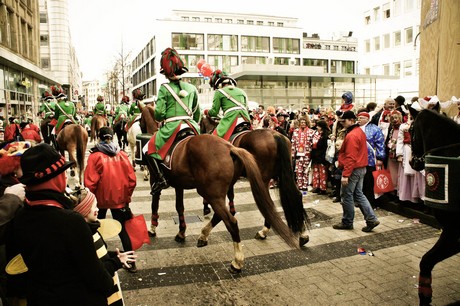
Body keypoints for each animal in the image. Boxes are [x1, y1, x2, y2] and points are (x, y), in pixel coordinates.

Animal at [140, 103, 298, 272]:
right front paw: (181, 232)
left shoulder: (156, 180)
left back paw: (237, 260)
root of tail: (230, 148)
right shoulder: (180, 185)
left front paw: (152, 228)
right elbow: (180, 207)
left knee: (233, 220)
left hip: (217, 191)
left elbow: (155, 204)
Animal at [200, 115, 310, 246]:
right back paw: (303, 235)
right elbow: (230, 195)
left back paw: (263, 231)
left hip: (263, 180)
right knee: (296, 195)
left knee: (268, 203)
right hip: (284, 176)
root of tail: (276, 136)